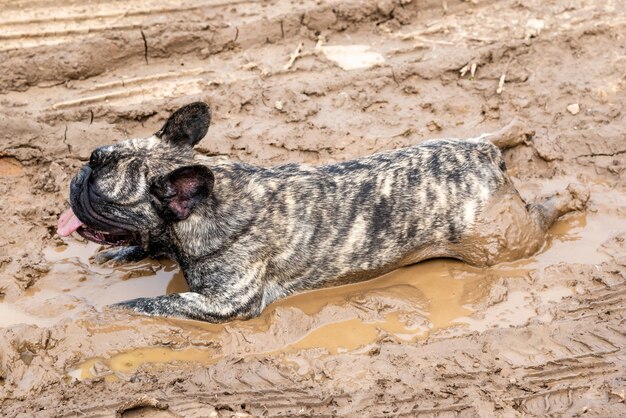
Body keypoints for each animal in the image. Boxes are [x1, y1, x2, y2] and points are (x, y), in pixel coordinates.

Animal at [57, 103, 584, 322]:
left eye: (100, 191)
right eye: (94, 157)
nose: (78, 175)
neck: (209, 200)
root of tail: (486, 158)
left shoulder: (225, 304)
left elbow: (152, 303)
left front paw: (111, 310)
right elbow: (149, 247)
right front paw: (121, 257)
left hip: (499, 244)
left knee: (540, 216)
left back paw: (571, 195)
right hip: (460, 145)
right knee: (486, 132)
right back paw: (511, 129)